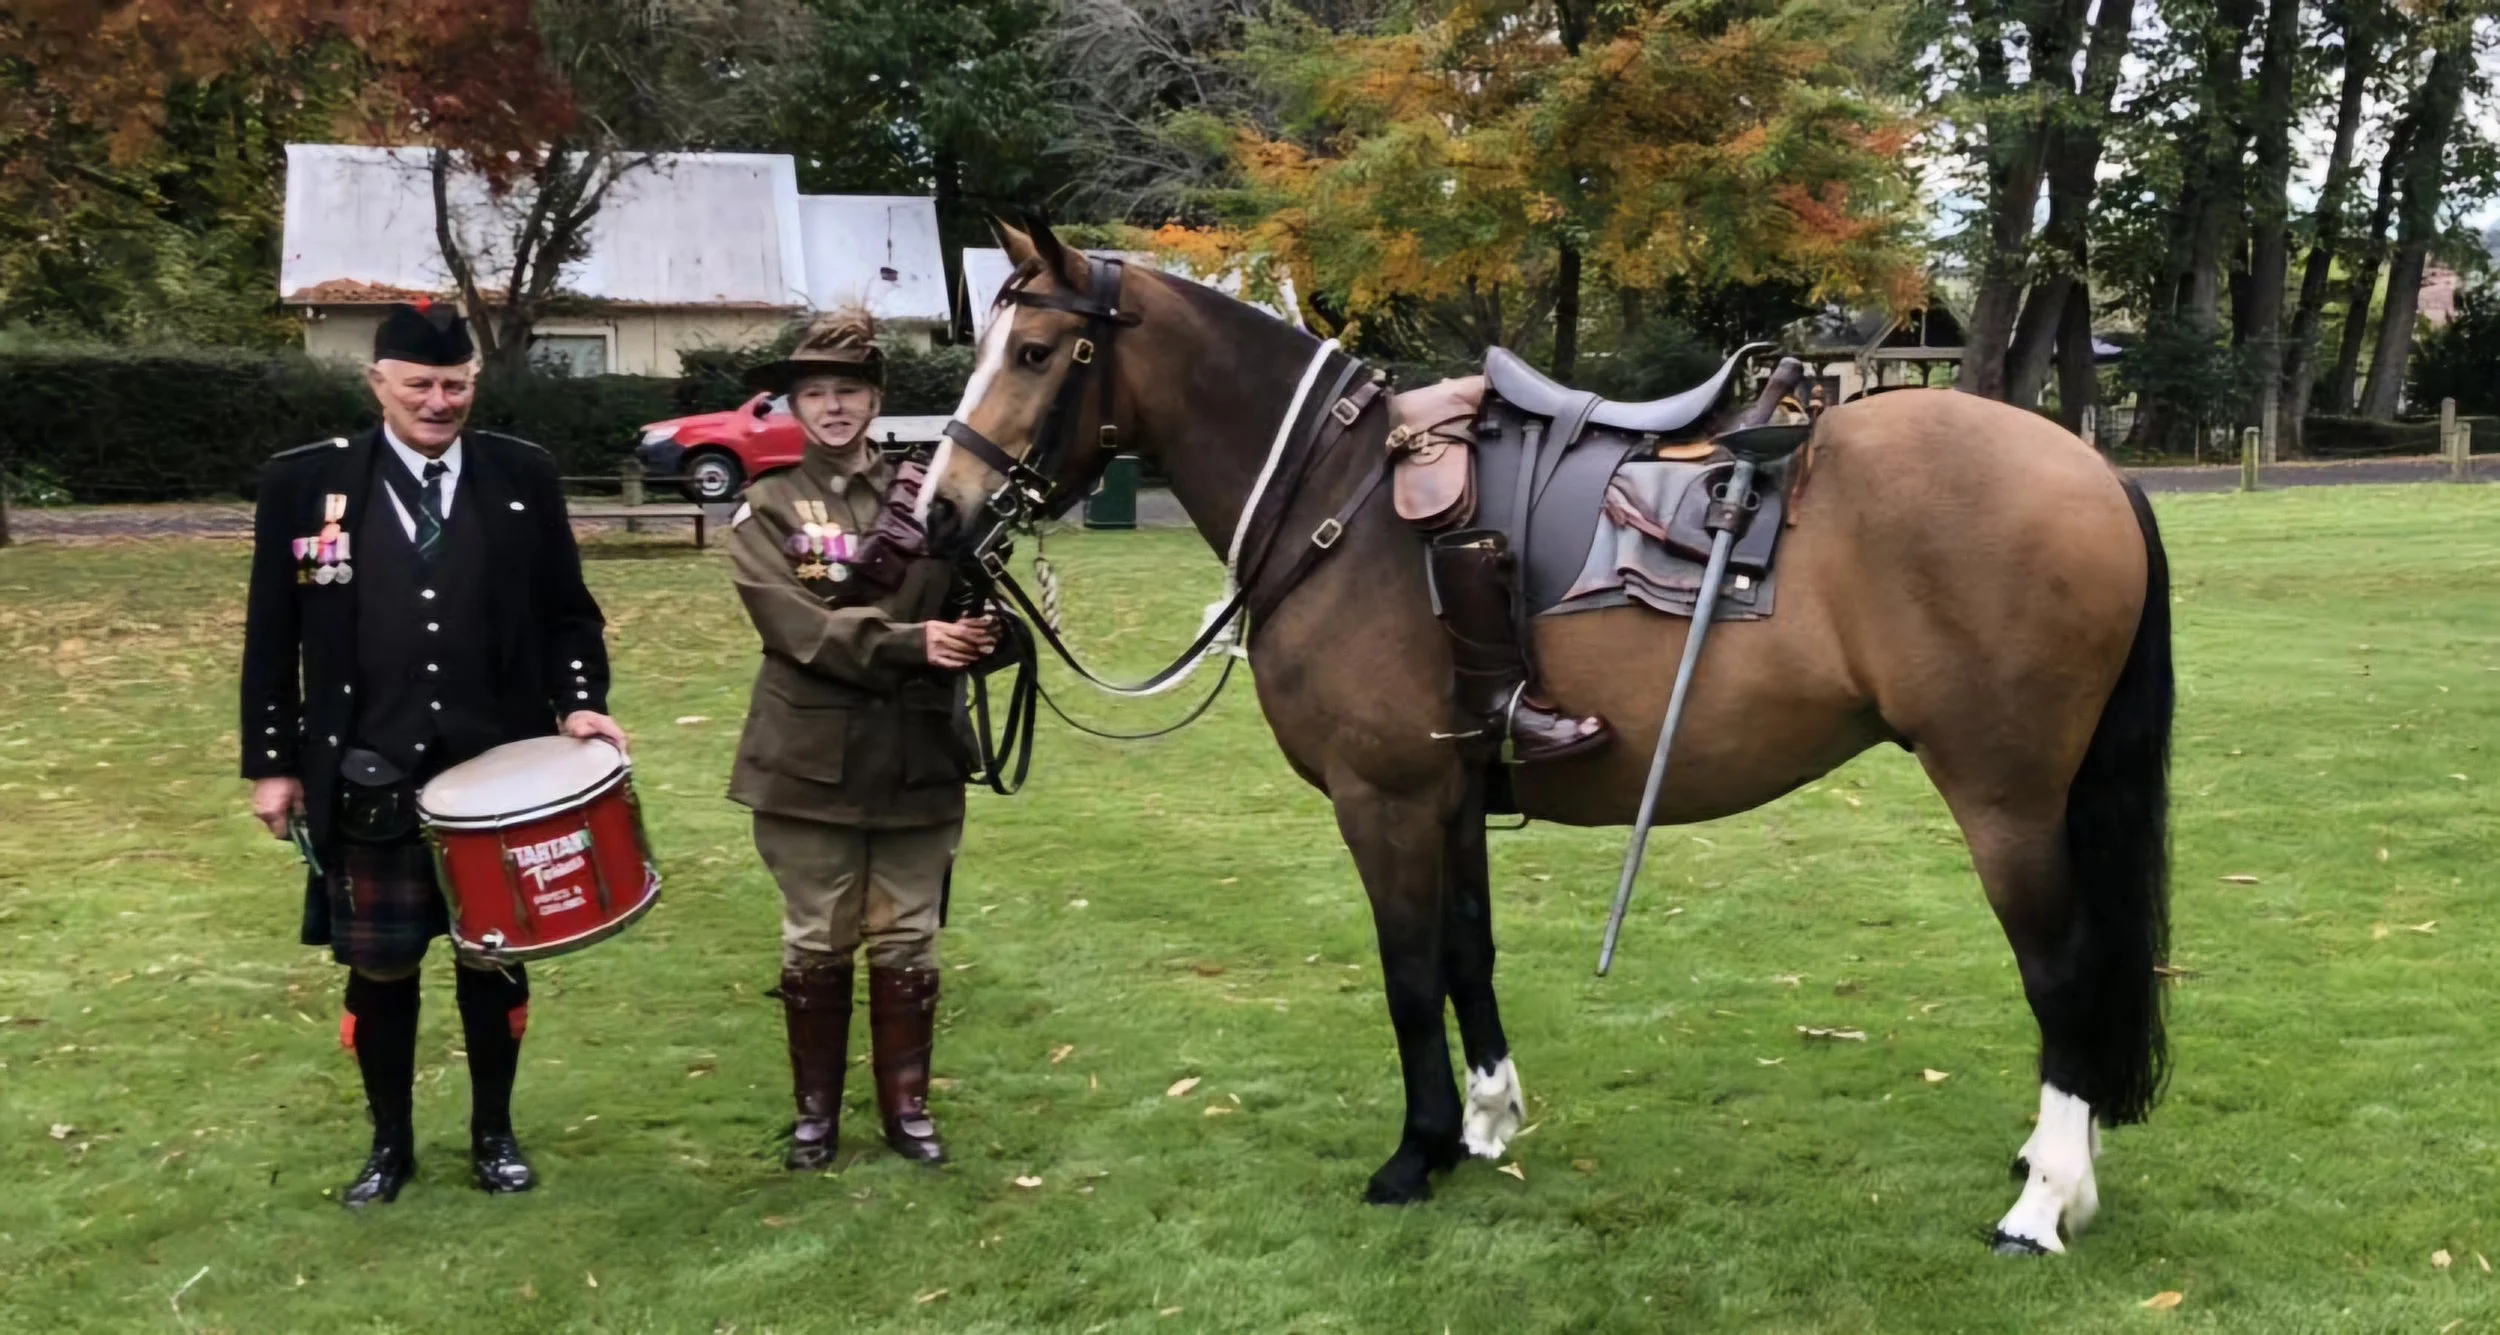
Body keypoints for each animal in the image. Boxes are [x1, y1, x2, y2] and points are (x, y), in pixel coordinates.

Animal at [921, 217, 2172, 1256]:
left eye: (1036, 354)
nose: (937, 513)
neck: (1340, 501)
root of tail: (2092, 469)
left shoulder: (1382, 799)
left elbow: (1407, 973)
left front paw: (1414, 1152)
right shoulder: (1453, 793)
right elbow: (1467, 954)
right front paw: (1484, 1122)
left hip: (2004, 798)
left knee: (2063, 973)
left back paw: (2043, 1202)